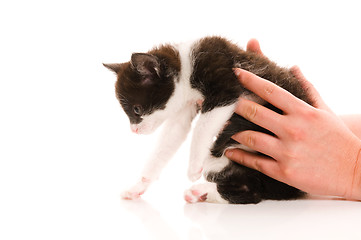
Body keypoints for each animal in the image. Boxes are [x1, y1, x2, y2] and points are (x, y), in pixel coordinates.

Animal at [103, 36, 310, 204]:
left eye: (136, 110)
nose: (134, 130)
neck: (186, 66)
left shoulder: (225, 85)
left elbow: (202, 126)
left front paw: (193, 167)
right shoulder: (185, 105)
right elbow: (171, 136)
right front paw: (140, 184)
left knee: (254, 190)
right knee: (249, 186)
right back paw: (199, 193)